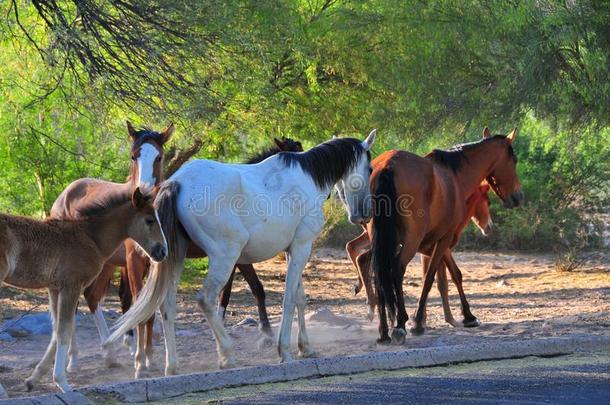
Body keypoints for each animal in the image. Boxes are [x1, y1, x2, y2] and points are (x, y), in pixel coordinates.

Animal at [0, 187, 166, 394]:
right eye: (149, 220)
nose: (162, 251)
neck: (90, 237)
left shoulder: (55, 288)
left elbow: (57, 331)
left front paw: (34, 379)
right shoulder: (71, 286)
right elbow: (64, 330)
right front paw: (62, 382)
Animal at [105, 129, 376, 372]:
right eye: (370, 169)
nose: (363, 215)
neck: (307, 176)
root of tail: (177, 182)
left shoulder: (293, 250)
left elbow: (299, 297)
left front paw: (305, 347)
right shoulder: (301, 247)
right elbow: (289, 298)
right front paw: (285, 350)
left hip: (175, 258)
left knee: (166, 305)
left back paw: (172, 366)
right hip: (225, 257)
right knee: (205, 299)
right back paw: (226, 354)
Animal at [344, 183, 492, 326]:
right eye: (487, 201)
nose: (489, 227)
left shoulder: (431, 252)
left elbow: (436, 280)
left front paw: (432, 318)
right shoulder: (442, 249)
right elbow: (452, 276)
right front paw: (464, 317)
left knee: (354, 248)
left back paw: (364, 294)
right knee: (362, 257)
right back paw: (372, 304)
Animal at [366, 128, 524, 342]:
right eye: (514, 160)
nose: (518, 197)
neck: (454, 176)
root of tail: (387, 166)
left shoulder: (433, 245)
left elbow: (449, 276)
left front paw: (465, 316)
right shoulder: (444, 240)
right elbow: (433, 277)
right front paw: (419, 322)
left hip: (380, 241)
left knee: (379, 274)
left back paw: (383, 331)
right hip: (411, 240)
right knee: (396, 270)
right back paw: (400, 324)